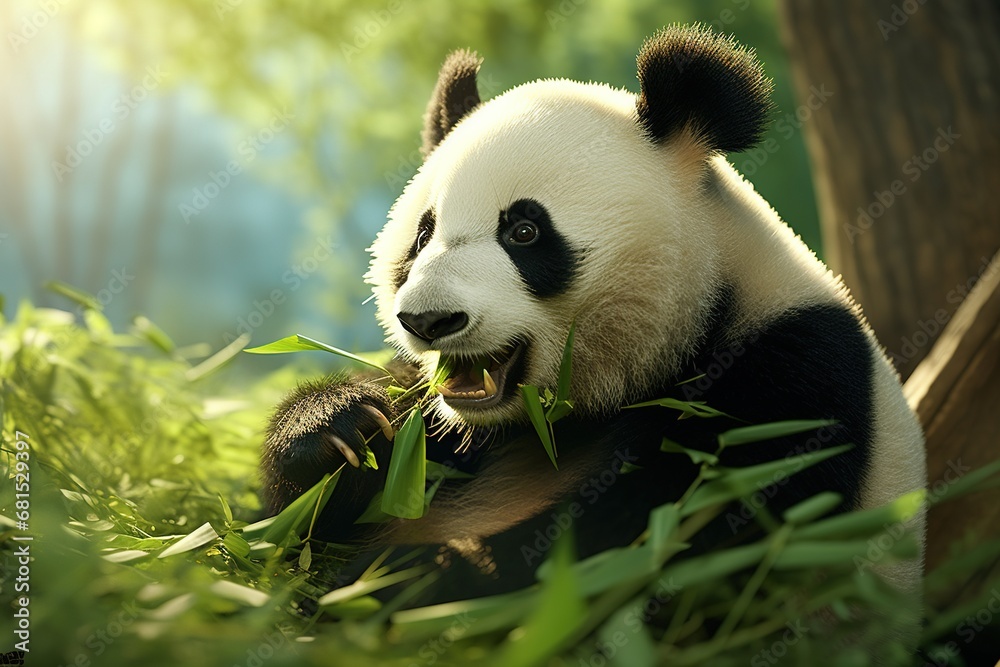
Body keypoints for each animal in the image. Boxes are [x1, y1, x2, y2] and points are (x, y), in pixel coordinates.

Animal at [261, 25, 926, 612]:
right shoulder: (449, 426)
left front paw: (406, 579)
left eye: (524, 232)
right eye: (422, 237)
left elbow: (666, 540)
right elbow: (289, 527)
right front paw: (338, 430)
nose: (429, 321)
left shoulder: (789, 380)